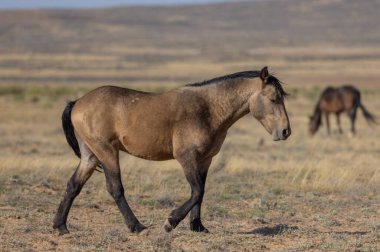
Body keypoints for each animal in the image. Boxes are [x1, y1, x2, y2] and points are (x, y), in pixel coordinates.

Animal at [52, 66, 290, 234]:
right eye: (273, 99)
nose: (285, 131)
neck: (208, 109)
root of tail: (77, 102)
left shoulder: (205, 160)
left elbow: (201, 192)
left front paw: (198, 226)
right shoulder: (186, 157)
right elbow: (197, 191)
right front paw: (171, 222)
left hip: (90, 156)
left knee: (73, 185)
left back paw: (60, 226)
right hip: (107, 152)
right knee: (115, 188)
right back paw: (137, 227)